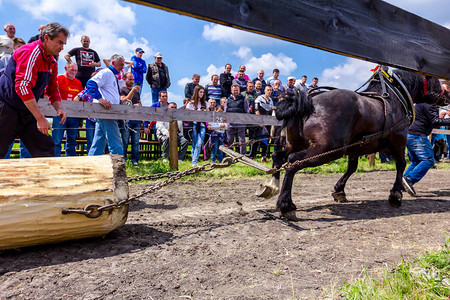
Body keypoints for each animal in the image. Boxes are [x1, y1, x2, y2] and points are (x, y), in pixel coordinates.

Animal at [262, 68, 450, 219]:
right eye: (436, 81)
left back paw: (271, 187)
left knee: (278, 156)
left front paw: (339, 190)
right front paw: (396, 194)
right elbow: (401, 165)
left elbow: (352, 167)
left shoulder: (356, 148)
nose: (447, 96)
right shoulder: (398, 142)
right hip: (328, 149)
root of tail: (307, 101)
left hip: (297, 144)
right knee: (293, 162)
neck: (395, 100)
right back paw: (286, 205)